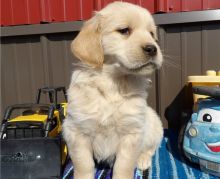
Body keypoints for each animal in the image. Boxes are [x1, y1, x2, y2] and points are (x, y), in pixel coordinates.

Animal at [62, 1, 162, 179]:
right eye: (124, 30)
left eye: (151, 34)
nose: (153, 48)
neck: (112, 84)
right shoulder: (76, 131)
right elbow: (83, 164)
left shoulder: (132, 132)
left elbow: (123, 166)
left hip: (154, 125)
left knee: (151, 148)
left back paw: (143, 160)